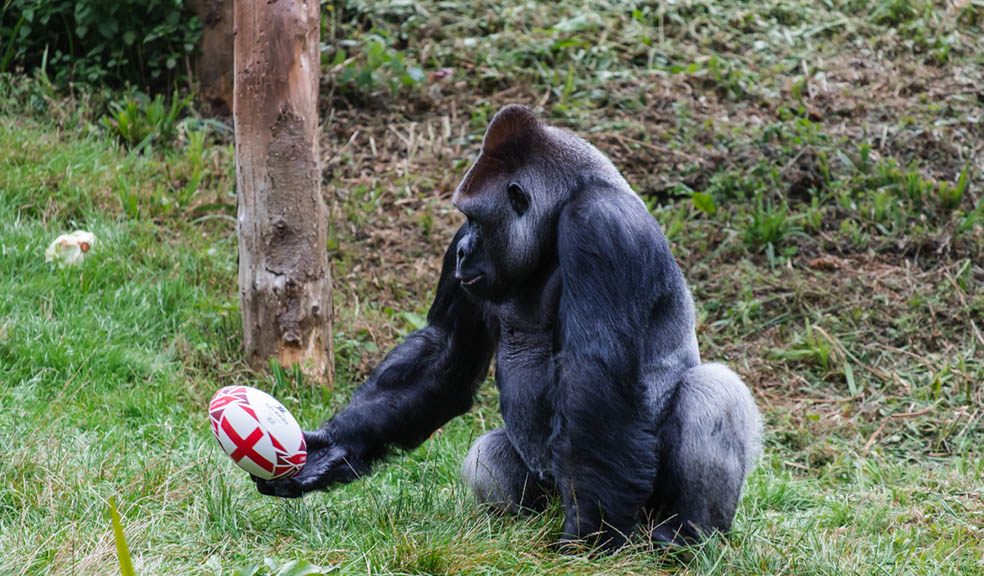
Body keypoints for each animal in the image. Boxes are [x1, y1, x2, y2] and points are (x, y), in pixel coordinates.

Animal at [254, 106, 760, 552]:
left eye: (476, 218)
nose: (463, 251)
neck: (563, 204)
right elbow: (445, 354)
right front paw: (335, 449)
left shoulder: (601, 225)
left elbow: (593, 378)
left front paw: (591, 533)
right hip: (546, 492)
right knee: (488, 455)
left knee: (712, 391)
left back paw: (684, 536)